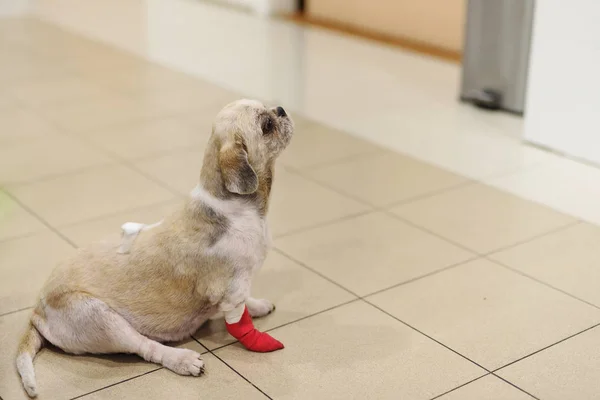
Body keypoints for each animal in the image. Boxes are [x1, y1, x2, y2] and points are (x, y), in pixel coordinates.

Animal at [14, 99, 296, 396]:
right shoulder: (233, 286)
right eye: (266, 126)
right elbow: (238, 314)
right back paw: (181, 360)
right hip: (101, 319)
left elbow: (245, 303)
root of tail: (37, 311)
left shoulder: (238, 288)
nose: (281, 109)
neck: (237, 206)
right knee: (145, 347)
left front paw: (257, 305)